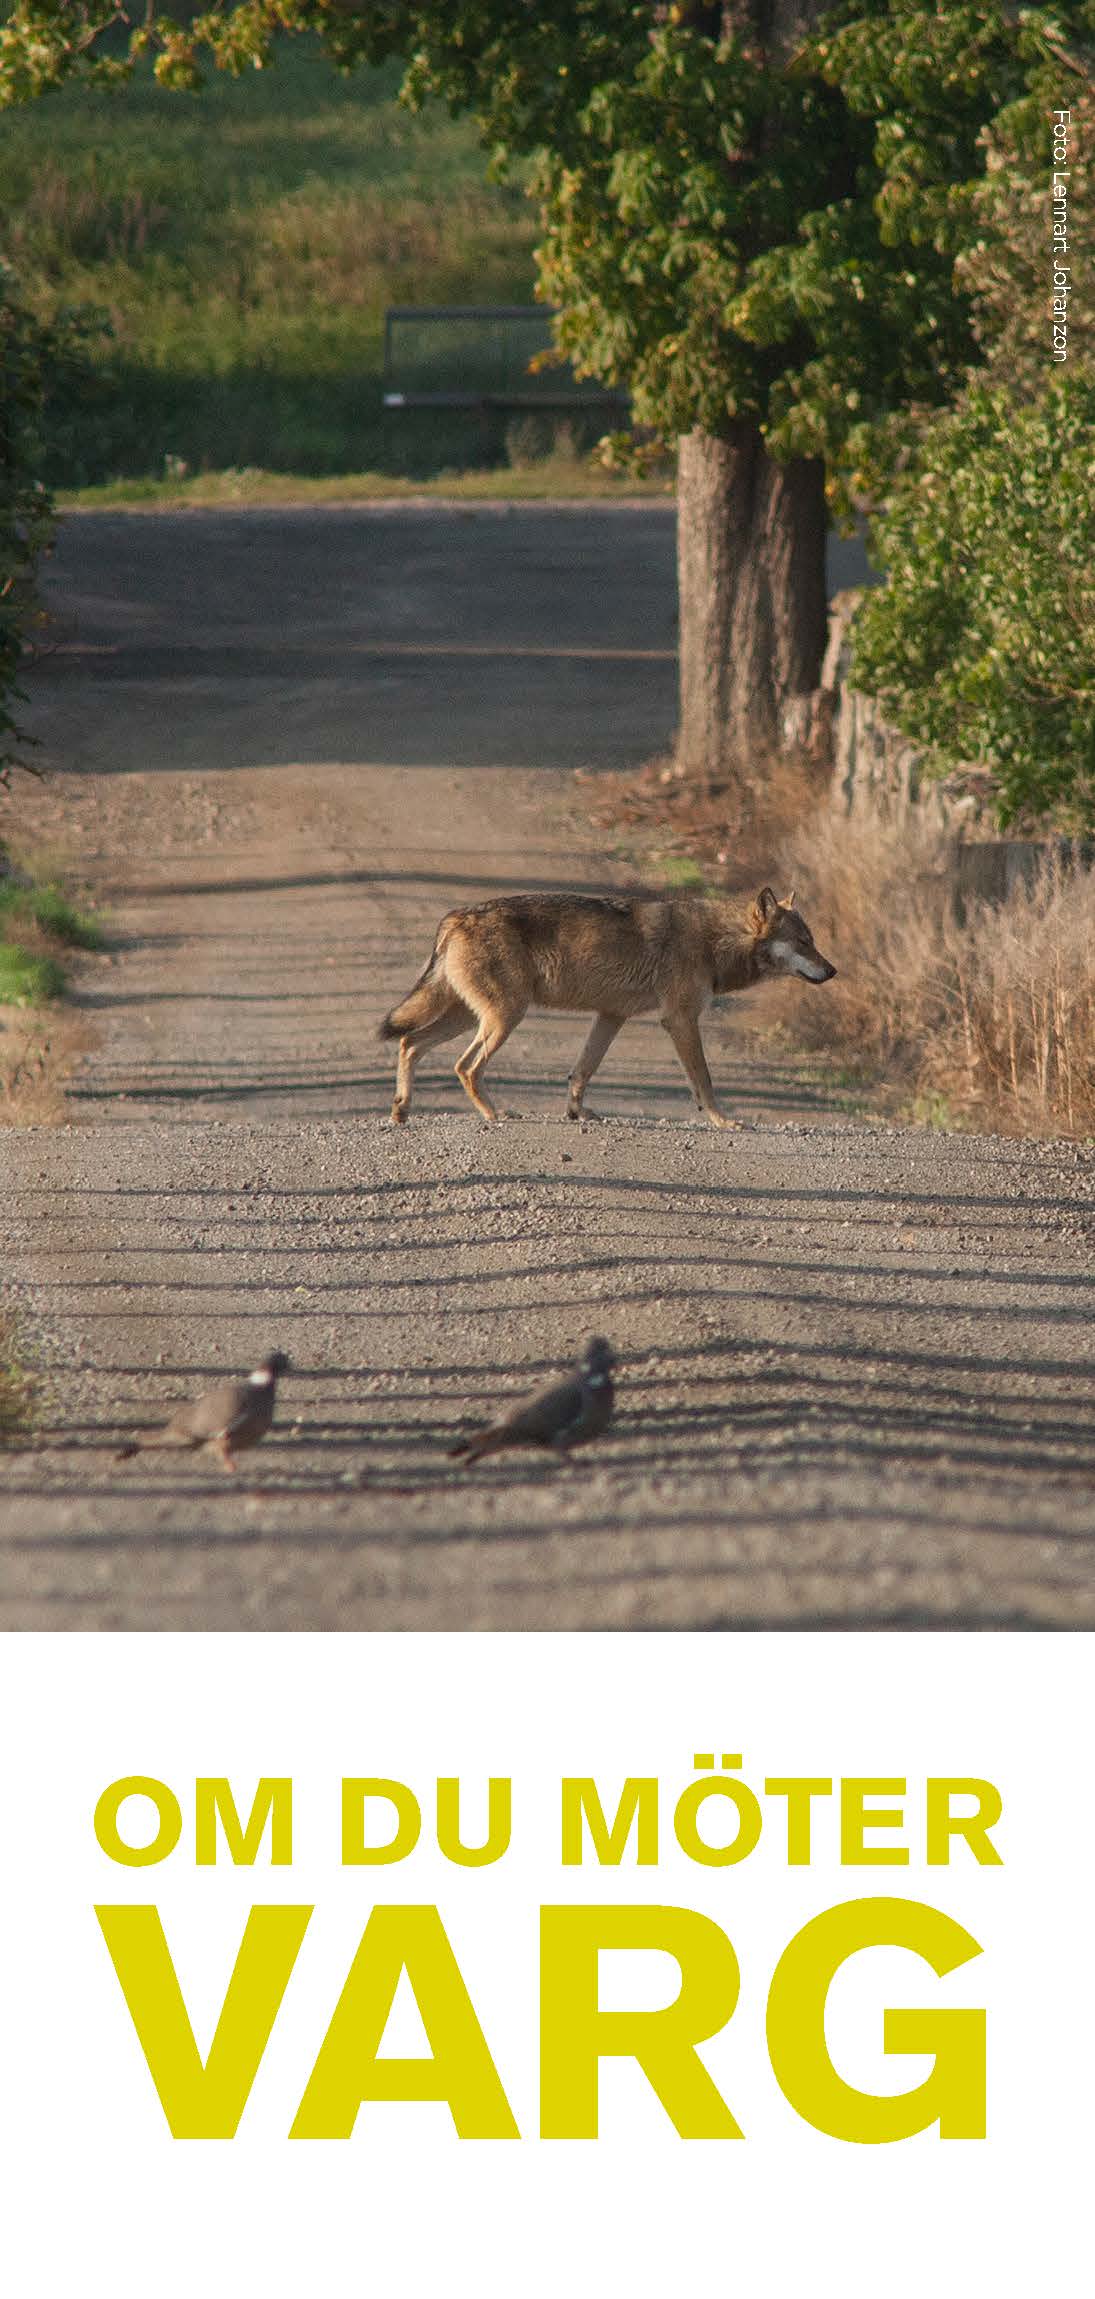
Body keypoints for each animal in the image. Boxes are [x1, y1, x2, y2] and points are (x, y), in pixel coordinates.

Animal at [379, 882, 832, 1126]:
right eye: (803, 943)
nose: (833, 971)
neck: (715, 941)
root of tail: (454, 916)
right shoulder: (680, 1020)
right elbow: (703, 1080)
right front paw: (724, 1121)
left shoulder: (612, 1015)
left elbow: (582, 1072)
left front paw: (577, 1114)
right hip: (504, 1017)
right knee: (464, 1066)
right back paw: (496, 1115)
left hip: (466, 1016)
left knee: (409, 1044)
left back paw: (401, 1111)